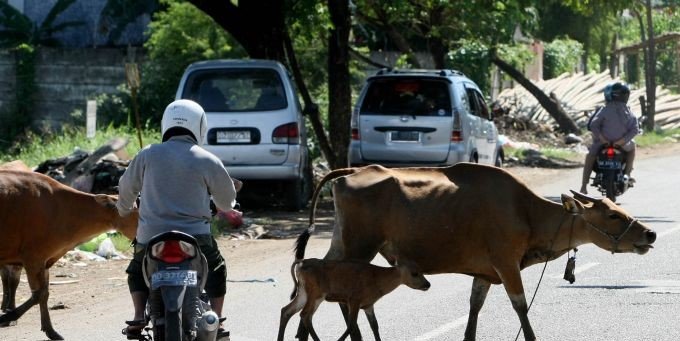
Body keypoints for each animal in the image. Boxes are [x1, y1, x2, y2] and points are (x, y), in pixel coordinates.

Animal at [0, 169, 138, 338]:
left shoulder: (44, 259)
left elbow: (44, 294)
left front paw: (50, 331)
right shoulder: (32, 257)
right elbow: (38, 294)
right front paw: (7, 316)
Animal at [278, 226, 430, 340]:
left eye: (421, 269)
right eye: (414, 273)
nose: (427, 284)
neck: (377, 280)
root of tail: (301, 264)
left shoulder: (368, 305)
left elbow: (375, 326)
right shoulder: (354, 299)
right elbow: (351, 325)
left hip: (303, 292)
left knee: (287, 310)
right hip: (316, 293)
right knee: (305, 315)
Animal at [298, 163, 660, 340]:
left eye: (619, 208)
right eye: (612, 215)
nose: (650, 233)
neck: (525, 211)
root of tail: (349, 172)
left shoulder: (484, 274)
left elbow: (473, 313)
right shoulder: (506, 264)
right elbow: (521, 309)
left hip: (340, 245)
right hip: (359, 247)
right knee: (339, 297)